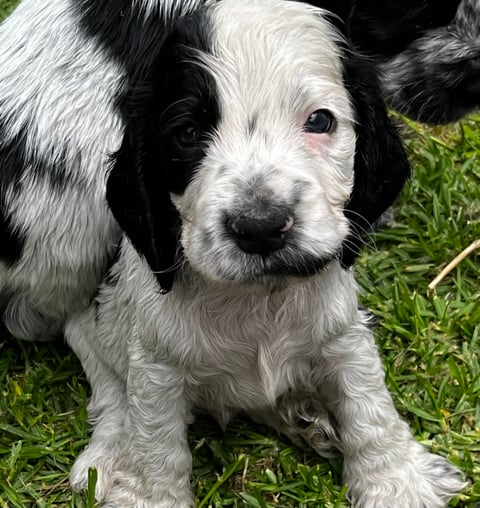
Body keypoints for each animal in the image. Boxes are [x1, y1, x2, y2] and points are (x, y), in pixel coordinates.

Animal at [63, 0, 464, 508]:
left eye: (320, 120)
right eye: (187, 133)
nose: (260, 227)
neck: (259, 299)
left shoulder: (344, 337)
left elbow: (369, 409)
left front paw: (397, 483)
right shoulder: (156, 367)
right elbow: (155, 442)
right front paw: (148, 491)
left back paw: (302, 416)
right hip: (96, 323)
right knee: (110, 386)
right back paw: (109, 454)